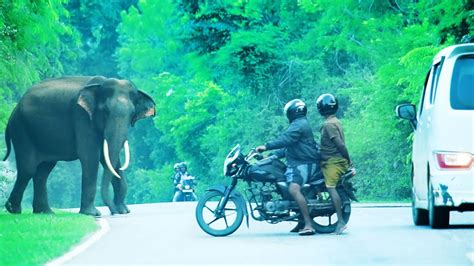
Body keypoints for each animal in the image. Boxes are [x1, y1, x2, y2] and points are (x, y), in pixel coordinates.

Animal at [2, 76, 156, 216]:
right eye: (105, 111)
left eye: (132, 113)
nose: (113, 212)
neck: (100, 84)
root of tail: (14, 110)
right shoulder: (82, 117)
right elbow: (90, 157)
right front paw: (93, 214)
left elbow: (109, 158)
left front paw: (124, 211)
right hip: (22, 131)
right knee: (28, 170)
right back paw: (13, 209)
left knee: (43, 171)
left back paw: (45, 212)